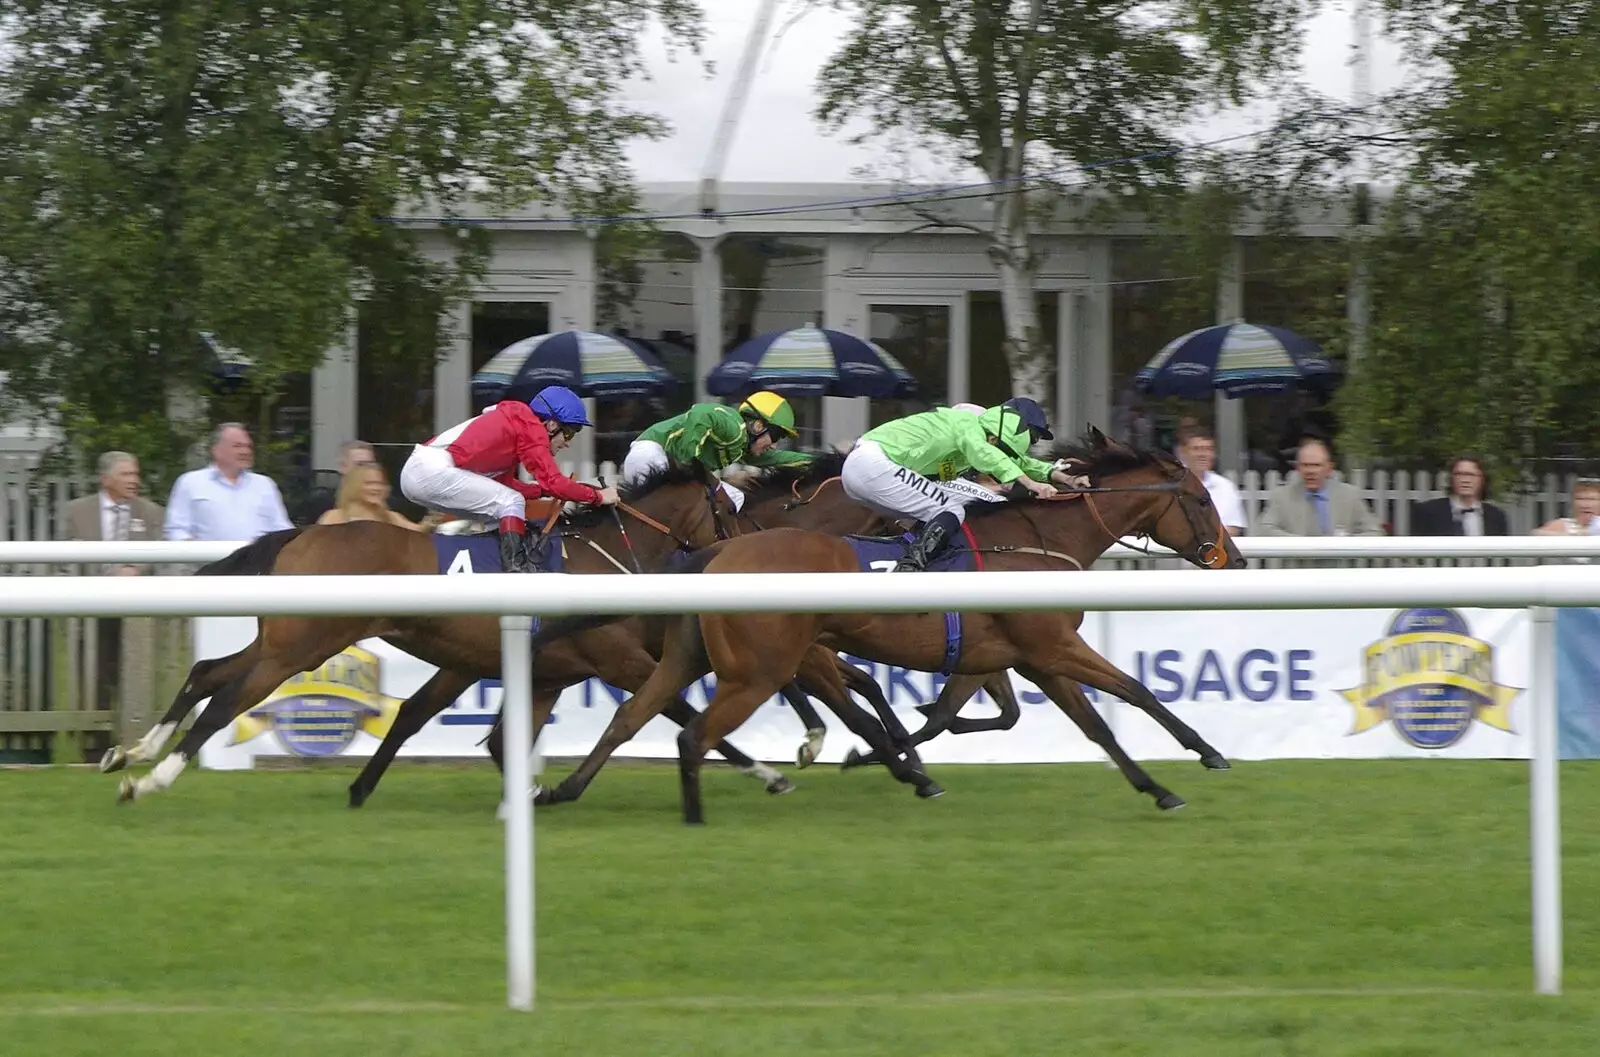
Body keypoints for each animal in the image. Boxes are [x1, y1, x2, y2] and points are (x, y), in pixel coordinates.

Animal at [563, 428, 1248, 825]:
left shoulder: (1026, 656)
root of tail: (716, 554)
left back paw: (563, 790)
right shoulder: (1051, 646)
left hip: (713, 655)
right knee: (699, 728)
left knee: (636, 715)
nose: (1235, 560)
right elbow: (1133, 691)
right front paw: (1208, 753)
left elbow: (1086, 725)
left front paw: (1158, 787)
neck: (1039, 541)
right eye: (1202, 500)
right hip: (763, 664)